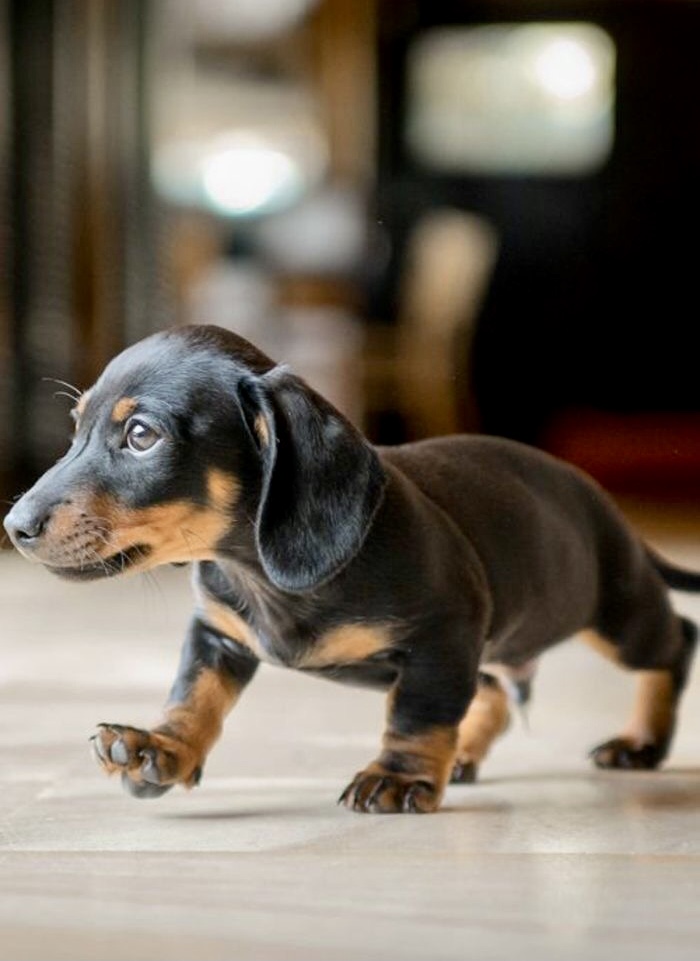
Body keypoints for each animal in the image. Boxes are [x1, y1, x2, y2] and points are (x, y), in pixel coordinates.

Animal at [5, 326, 700, 812]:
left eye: (141, 435)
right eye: (75, 429)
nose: (15, 526)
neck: (260, 572)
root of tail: (604, 505)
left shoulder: (442, 637)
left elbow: (417, 715)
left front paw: (399, 777)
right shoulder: (218, 633)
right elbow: (193, 694)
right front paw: (161, 749)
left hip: (616, 614)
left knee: (673, 642)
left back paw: (640, 742)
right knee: (496, 692)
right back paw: (466, 755)